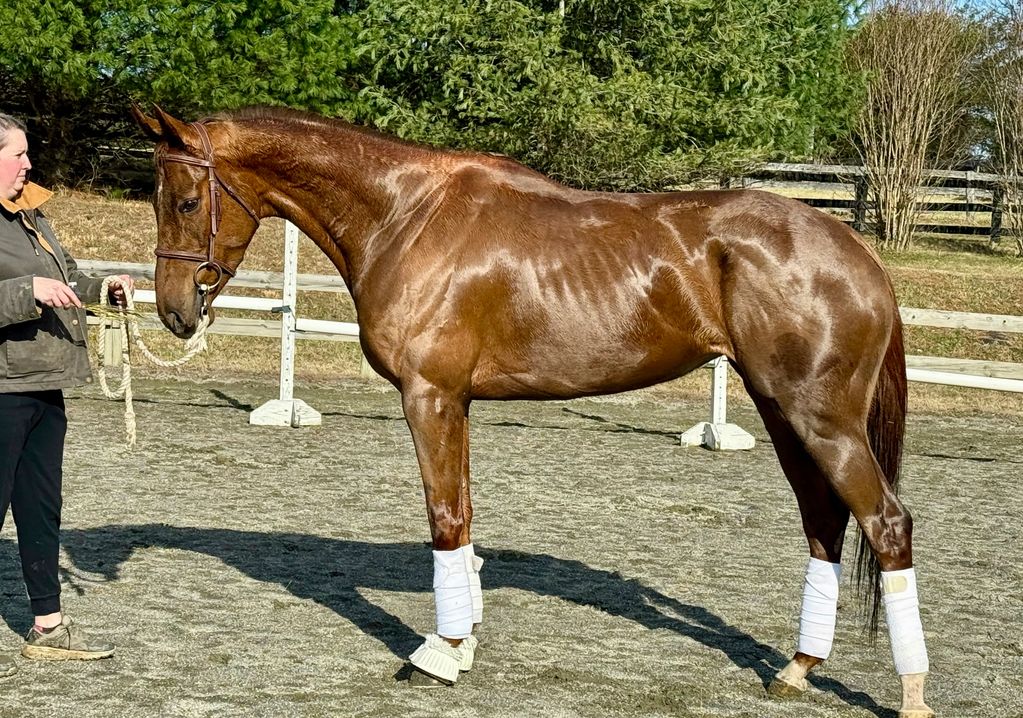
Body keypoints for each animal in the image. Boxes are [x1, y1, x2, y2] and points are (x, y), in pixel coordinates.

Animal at [131, 105, 933, 717]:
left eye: (186, 201)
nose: (172, 313)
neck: (405, 216)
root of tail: (856, 250)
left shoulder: (430, 396)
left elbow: (444, 517)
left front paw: (442, 652)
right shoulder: (454, 403)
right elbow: (463, 516)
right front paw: (464, 639)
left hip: (819, 420)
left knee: (886, 523)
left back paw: (912, 694)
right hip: (781, 413)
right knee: (825, 524)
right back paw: (797, 668)